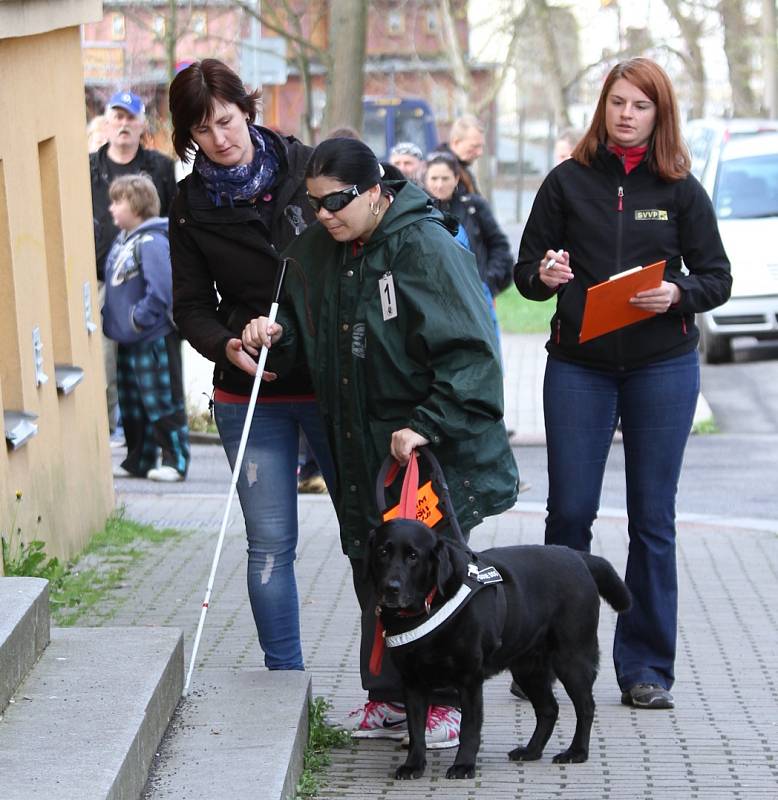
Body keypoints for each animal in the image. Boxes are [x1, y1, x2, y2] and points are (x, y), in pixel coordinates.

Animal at [366, 520, 632, 780]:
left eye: (413, 556)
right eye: (382, 552)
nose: (391, 588)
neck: (428, 607)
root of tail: (577, 556)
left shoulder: (470, 679)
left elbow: (470, 728)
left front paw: (464, 765)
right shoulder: (412, 683)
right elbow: (416, 730)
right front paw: (413, 765)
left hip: (572, 660)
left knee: (586, 707)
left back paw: (576, 752)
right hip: (528, 670)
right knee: (549, 709)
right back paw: (531, 750)